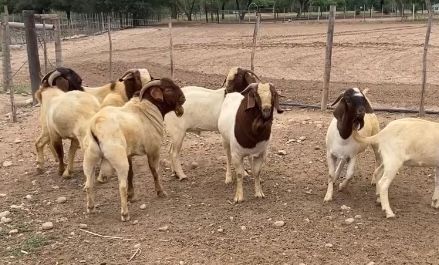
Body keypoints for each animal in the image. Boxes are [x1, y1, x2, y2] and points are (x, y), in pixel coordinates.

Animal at [83, 78, 186, 221]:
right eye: (168, 89)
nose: (184, 98)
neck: (146, 110)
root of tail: (95, 126)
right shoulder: (153, 149)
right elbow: (155, 171)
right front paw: (161, 192)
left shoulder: (129, 154)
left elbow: (131, 174)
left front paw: (131, 196)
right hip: (118, 158)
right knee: (121, 186)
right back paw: (125, 214)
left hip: (89, 158)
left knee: (88, 184)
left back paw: (91, 208)